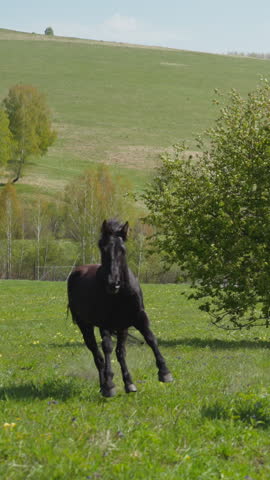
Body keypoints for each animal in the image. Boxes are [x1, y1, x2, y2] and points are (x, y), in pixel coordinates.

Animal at [67, 219, 173, 396]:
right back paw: (104, 385)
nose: (113, 283)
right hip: (85, 325)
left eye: (122, 250)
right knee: (98, 354)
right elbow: (107, 349)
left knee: (120, 353)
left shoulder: (138, 317)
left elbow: (150, 338)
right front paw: (110, 385)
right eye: (102, 248)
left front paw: (164, 372)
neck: (121, 294)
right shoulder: (104, 323)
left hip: (121, 327)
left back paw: (128, 383)